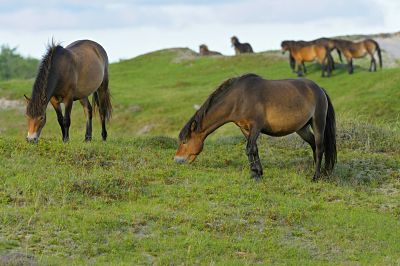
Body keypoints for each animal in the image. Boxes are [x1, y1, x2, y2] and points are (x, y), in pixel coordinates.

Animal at [177, 74, 336, 181]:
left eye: (184, 141)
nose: (177, 160)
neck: (240, 98)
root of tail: (319, 89)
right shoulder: (245, 128)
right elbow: (254, 149)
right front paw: (258, 172)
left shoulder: (256, 127)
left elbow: (249, 149)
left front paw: (254, 174)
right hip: (302, 128)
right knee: (313, 145)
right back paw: (318, 170)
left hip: (318, 122)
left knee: (319, 147)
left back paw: (316, 176)